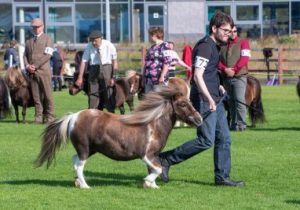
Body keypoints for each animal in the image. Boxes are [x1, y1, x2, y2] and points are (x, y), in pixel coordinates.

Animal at [36, 80, 203, 189]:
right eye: (182, 104)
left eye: (190, 101)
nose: (199, 119)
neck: (152, 126)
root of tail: (73, 117)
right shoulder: (146, 155)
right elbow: (158, 169)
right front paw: (147, 181)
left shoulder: (153, 155)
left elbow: (155, 168)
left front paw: (152, 185)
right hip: (84, 148)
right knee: (79, 164)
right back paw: (85, 185)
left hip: (91, 149)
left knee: (75, 160)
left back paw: (77, 182)